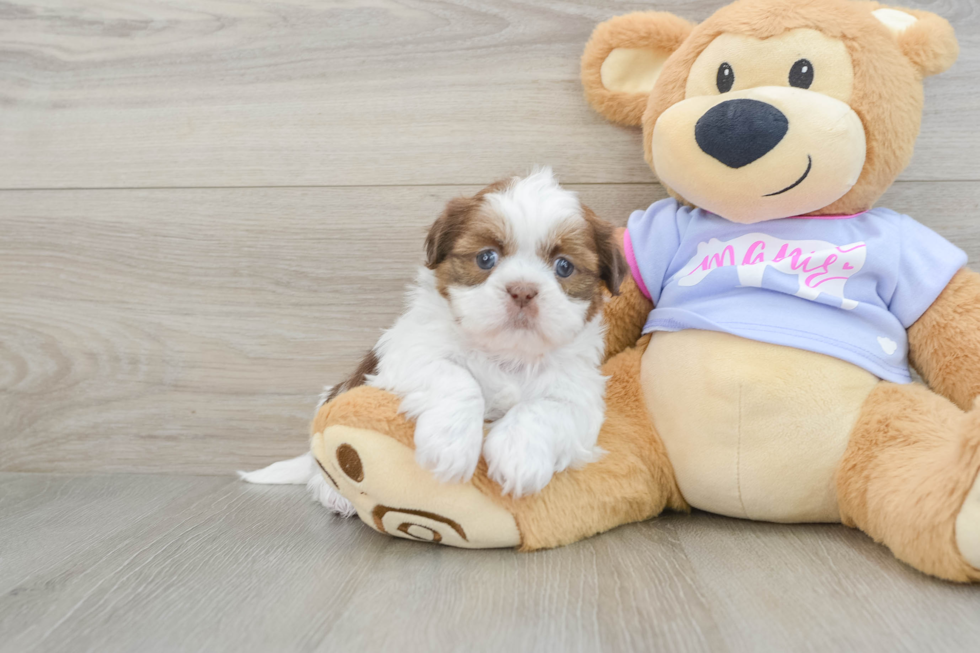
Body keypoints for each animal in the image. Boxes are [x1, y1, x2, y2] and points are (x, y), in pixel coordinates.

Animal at [245, 169, 628, 516]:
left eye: (564, 267)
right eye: (486, 258)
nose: (522, 290)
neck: (506, 355)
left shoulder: (580, 395)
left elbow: (546, 408)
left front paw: (520, 455)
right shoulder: (407, 353)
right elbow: (455, 377)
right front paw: (451, 444)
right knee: (319, 464)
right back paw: (334, 493)